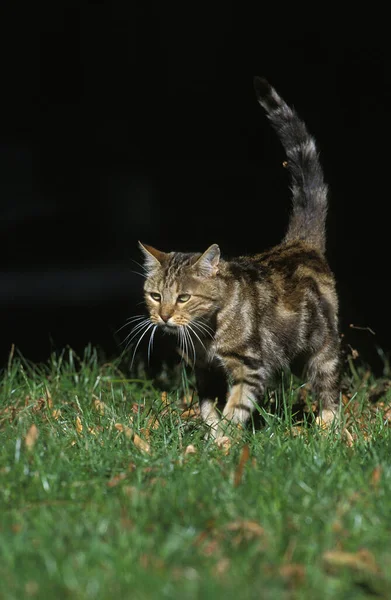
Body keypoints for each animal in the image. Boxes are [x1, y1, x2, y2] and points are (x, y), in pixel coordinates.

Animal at [136, 77, 342, 438]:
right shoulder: (204, 370)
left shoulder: (250, 367)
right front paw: (213, 432)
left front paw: (227, 440)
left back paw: (328, 429)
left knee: (329, 390)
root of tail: (299, 243)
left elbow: (238, 406)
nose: (163, 317)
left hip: (322, 349)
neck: (208, 333)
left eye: (184, 297)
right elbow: (207, 407)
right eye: (156, 296)